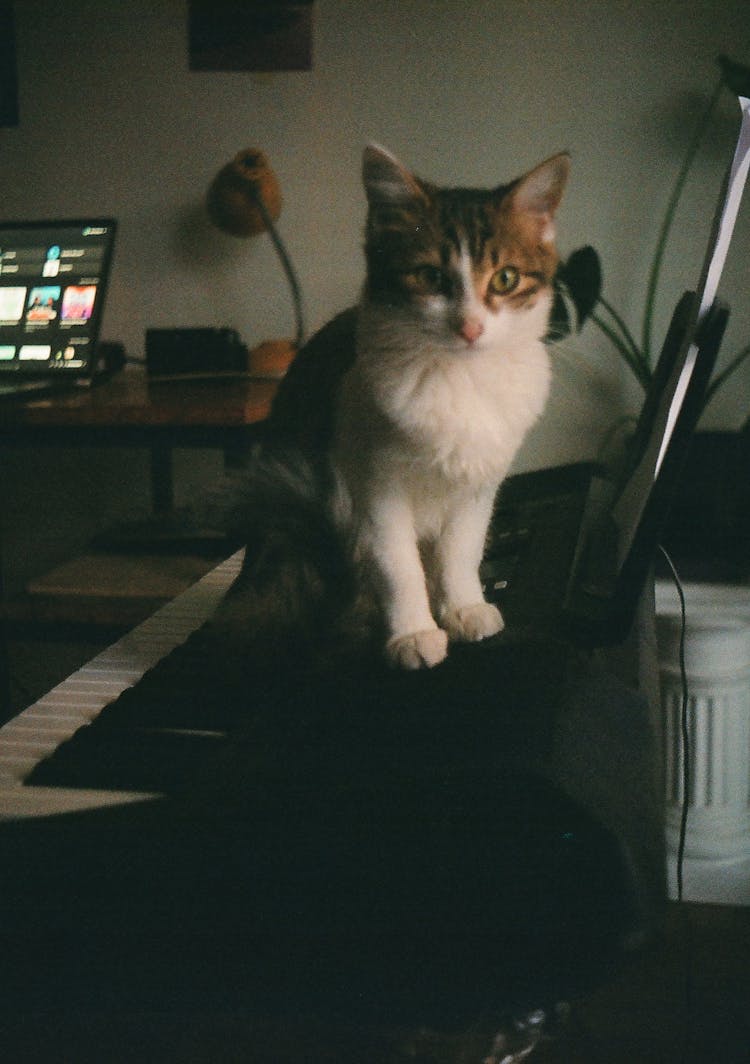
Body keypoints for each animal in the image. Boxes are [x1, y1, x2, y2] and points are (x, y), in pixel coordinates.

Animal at [217, 145, 565, 668]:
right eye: (431, 277)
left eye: (505, 279)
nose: (470, 327)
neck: (459, 376)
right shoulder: (375, 490)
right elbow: (399, 567)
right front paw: (413, 632)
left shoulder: (478, 487)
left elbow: (462, 551)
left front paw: (463, 606)